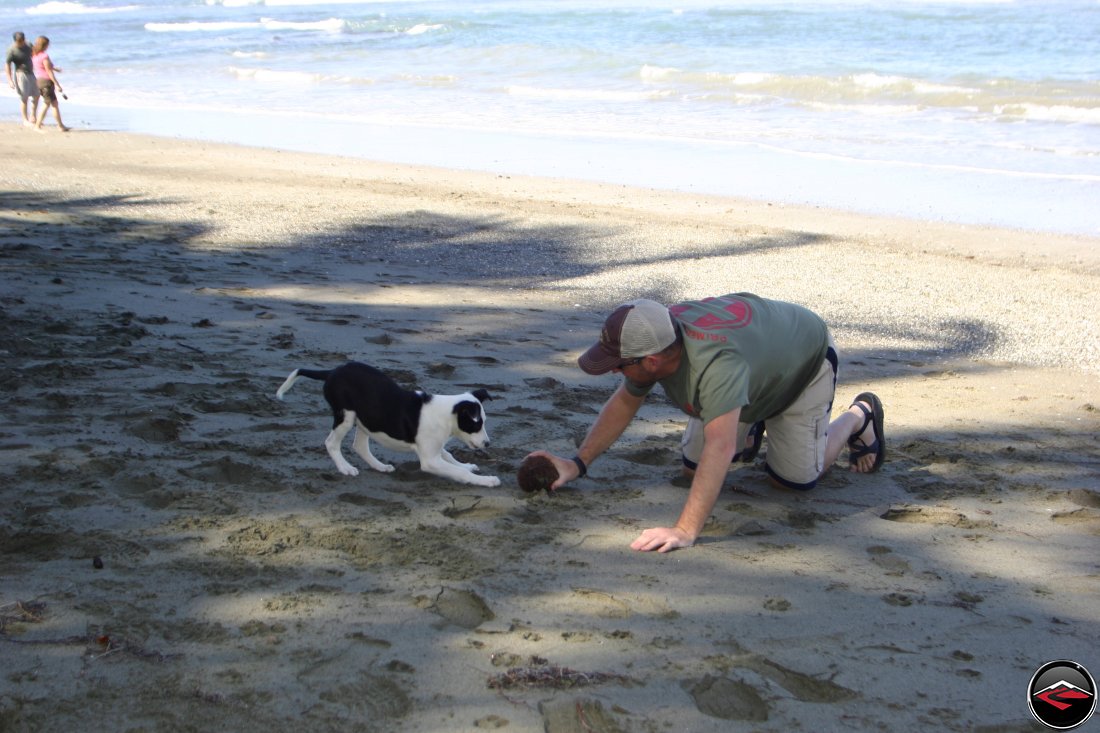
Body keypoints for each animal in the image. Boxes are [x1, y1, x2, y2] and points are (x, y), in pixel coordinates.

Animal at [277, 358, 501, 484]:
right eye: (476, 424)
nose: (487, 443)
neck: (444, 415)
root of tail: (332, 372)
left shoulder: (434, 449)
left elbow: (449, 456)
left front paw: (467, 465)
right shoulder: (430, 460)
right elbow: (457, 472)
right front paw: (487, 480)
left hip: (366, 418)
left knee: (359, 445)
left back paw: (380, 466)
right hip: (346, 416)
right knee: (331, 442)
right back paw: (345, 468)